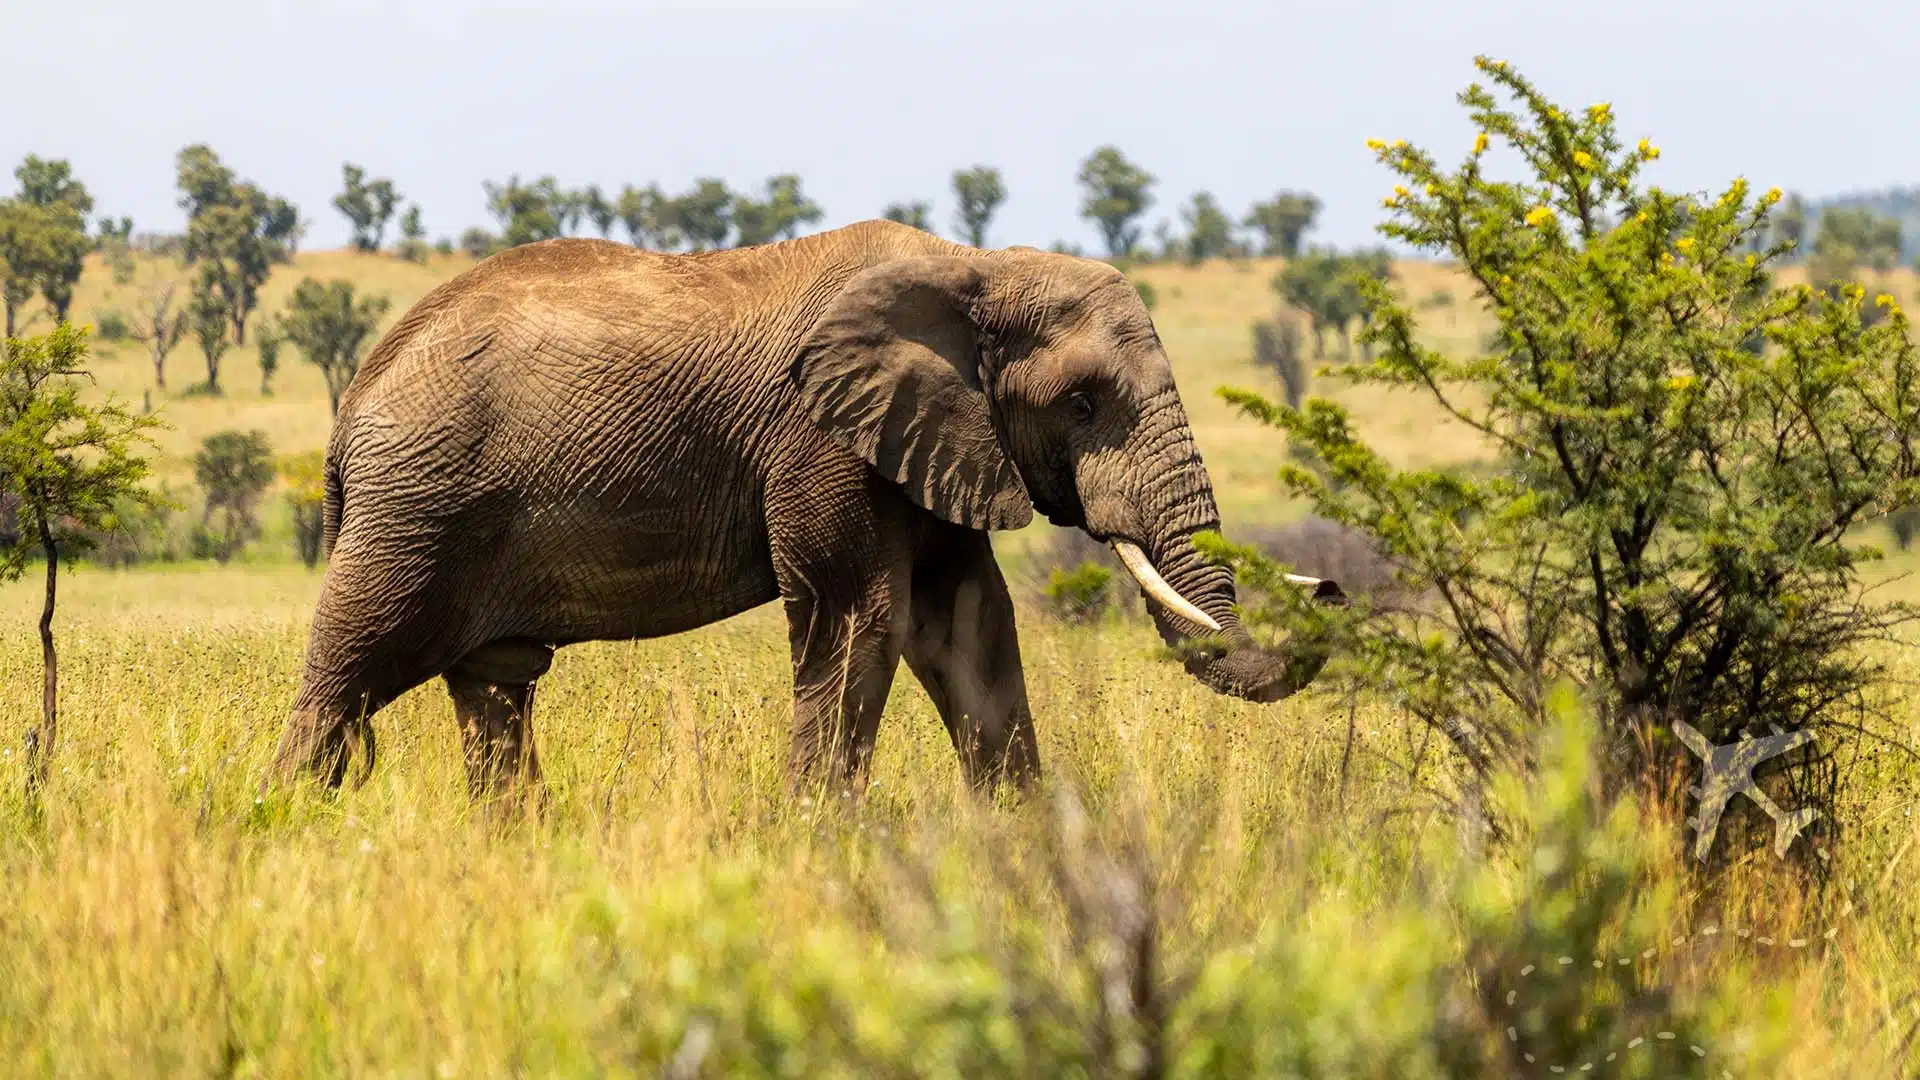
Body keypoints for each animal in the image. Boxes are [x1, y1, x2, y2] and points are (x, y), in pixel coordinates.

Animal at [270, 216, 1336, 799]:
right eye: (1082, 403)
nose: (1328, 588)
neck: (974, 265)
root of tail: (356, 398)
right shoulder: (822, 440)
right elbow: (862, 619)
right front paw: (815, 840)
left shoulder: (929, 445)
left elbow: (970, 629)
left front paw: (1028, 844)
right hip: (416, 508)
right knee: (349, 674)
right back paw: (285, 823)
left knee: (494, 686)